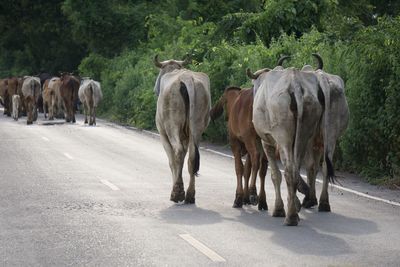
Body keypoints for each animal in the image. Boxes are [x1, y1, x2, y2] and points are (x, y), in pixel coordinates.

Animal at [152, 55, 211, 204]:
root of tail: (187, 78)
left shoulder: (163, 134)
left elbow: (172, 161)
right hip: (197, 127)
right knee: (192, 158)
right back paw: (190, 195)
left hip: (172, 125)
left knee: (177, 152)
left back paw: (177, 193)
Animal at [252, 58, 332, 226]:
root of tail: (294, 84)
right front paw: (296, 200)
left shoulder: (267, 142)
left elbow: (275, 175)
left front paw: (279, 208)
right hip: (305, 132)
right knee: (296, 169)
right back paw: (295, 209)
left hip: (283, 135)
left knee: (289, 171)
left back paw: (290, 216)